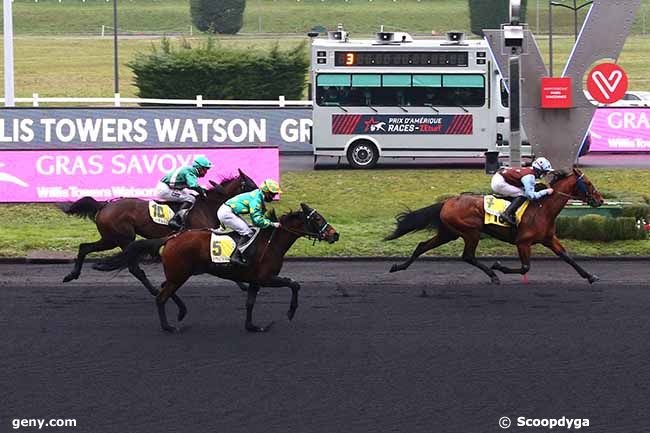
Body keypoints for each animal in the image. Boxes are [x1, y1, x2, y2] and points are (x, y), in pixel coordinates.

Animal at [61, 167, 256, 286]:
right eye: (251, 184)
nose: (261, 194)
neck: (207, 205)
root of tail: (104, 205)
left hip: (110, 238)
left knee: (84, 247)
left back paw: (72, 275)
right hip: (122, 238)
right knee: (133, 268)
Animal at [95, 204, 340, 332]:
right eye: (318, 219)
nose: (335, 234)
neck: (270, 242)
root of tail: (171, 237)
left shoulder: (255, 280)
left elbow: (250, 303)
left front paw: (252, 326)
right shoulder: (267, 277)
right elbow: (294, 284)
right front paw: (290, 312)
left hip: (178, 273)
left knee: (164, 289)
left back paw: (182, 312)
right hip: (179, 274)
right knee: (161, 296)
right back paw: (168, 326)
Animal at [384, 168, 604, 284]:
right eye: (589, 183)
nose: (600, 200)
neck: (543, 208)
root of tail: (448, 201)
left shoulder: (549, 239)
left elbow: (567, 257)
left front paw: (590, 276)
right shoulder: (523, 242)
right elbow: (525, 267)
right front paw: (499, 266)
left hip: (449, 233)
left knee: (422, 246)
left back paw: (398, 266)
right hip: (470, 232)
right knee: (468, 256)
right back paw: (493, 275)